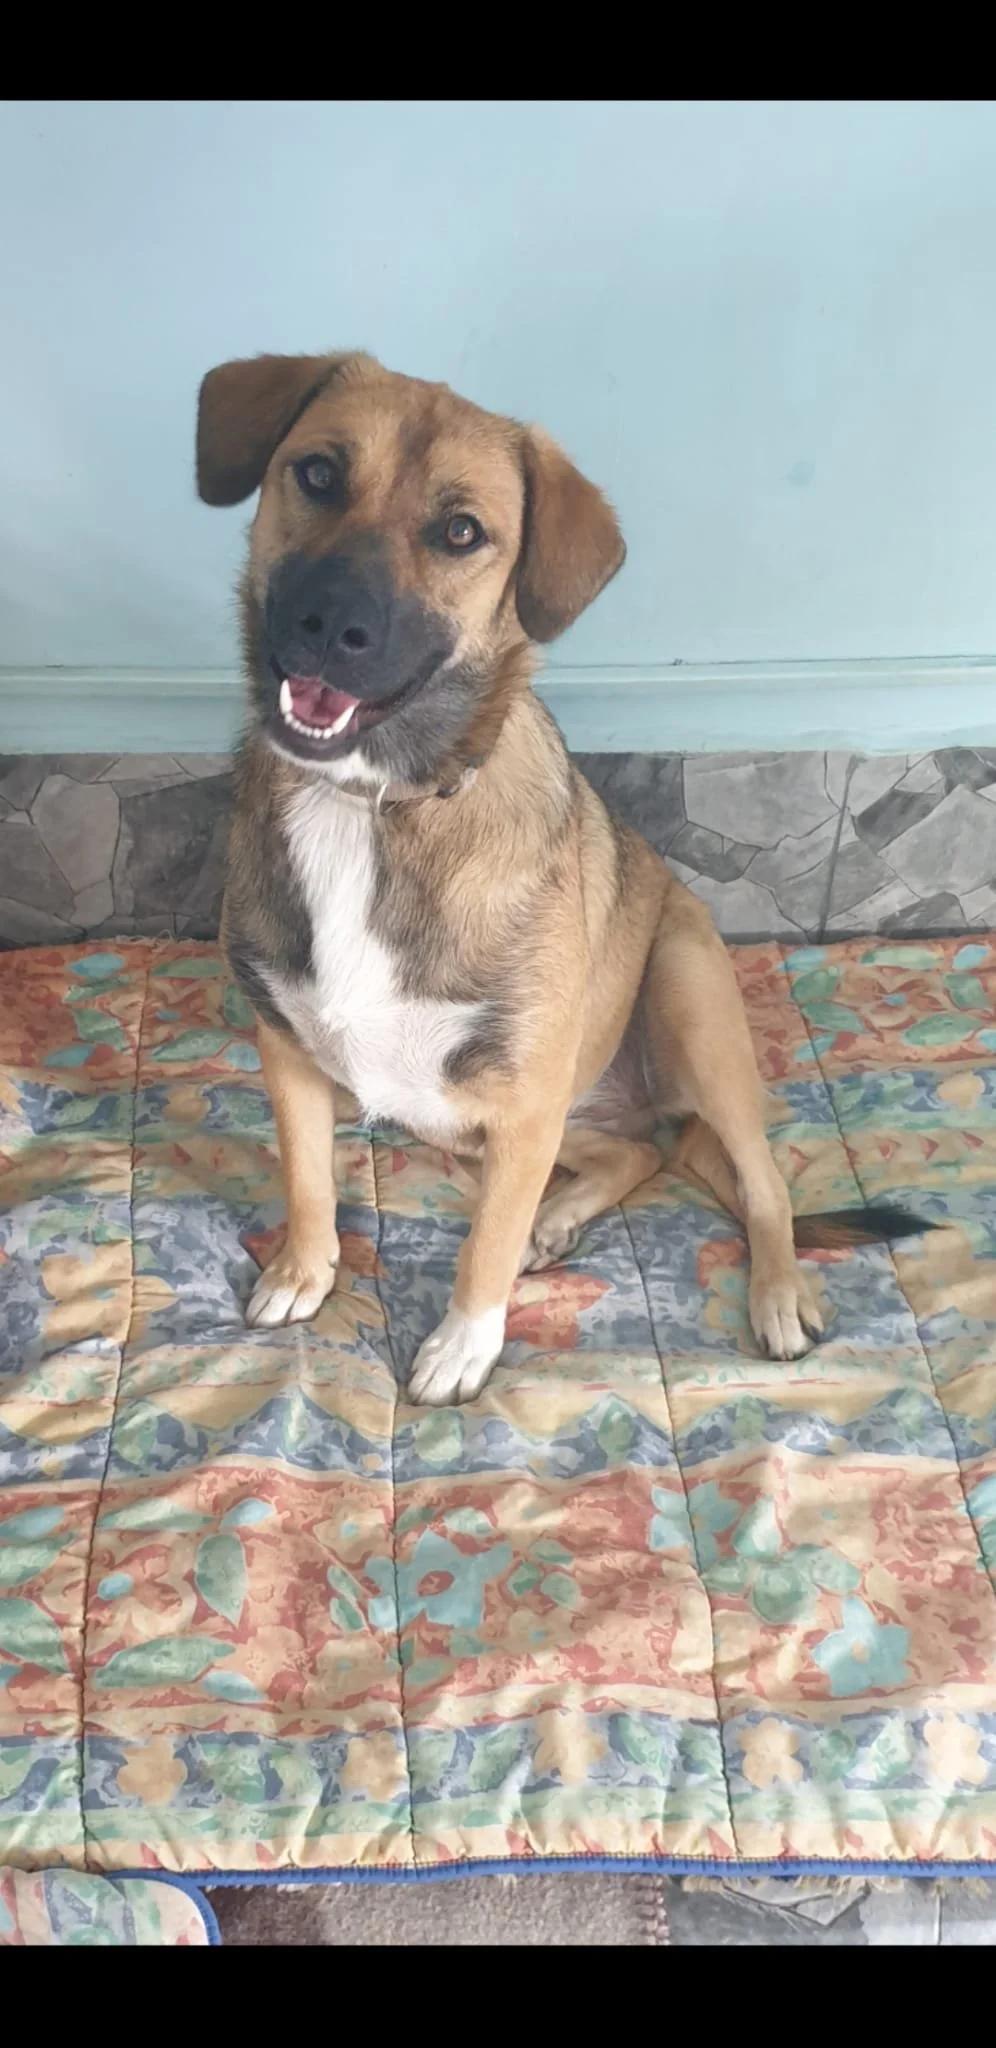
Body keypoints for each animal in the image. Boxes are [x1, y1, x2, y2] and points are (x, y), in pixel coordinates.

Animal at [196, 350, 928, 1404]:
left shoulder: (521, 1102)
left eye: (463, 532)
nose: (329, 623)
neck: (371, 806)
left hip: (682, 1006)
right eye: (319, 473)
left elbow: (483, 1248)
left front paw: (463, 1344)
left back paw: (775, 1291)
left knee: (759, 1182)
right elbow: (306, 1178)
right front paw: (305, 1269)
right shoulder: (291, 1051)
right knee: (638, 1152)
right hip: (493, 1119)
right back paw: (565, 1212)